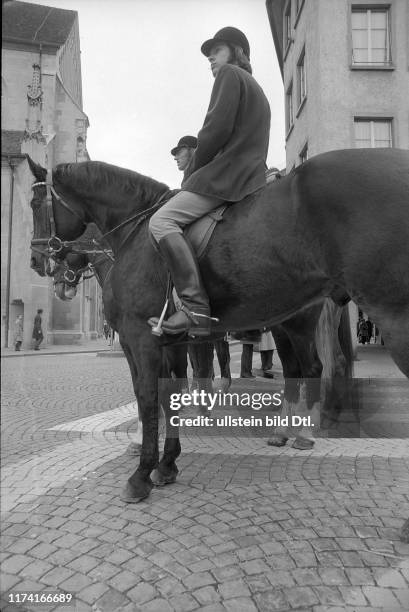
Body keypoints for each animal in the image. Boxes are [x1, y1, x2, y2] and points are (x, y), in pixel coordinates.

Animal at [28, 148, 408, 502]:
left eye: (33, 203)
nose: (36, 260)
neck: (136, 234)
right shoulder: (174, 342)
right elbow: (172, 392)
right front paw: (168, 463)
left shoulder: (138, 339)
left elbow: (148, 396)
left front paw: (141, 471)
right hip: (289, 325)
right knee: (302, 369)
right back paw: (290, 430)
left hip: (320, 323)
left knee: (314, 368)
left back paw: (305, 431)